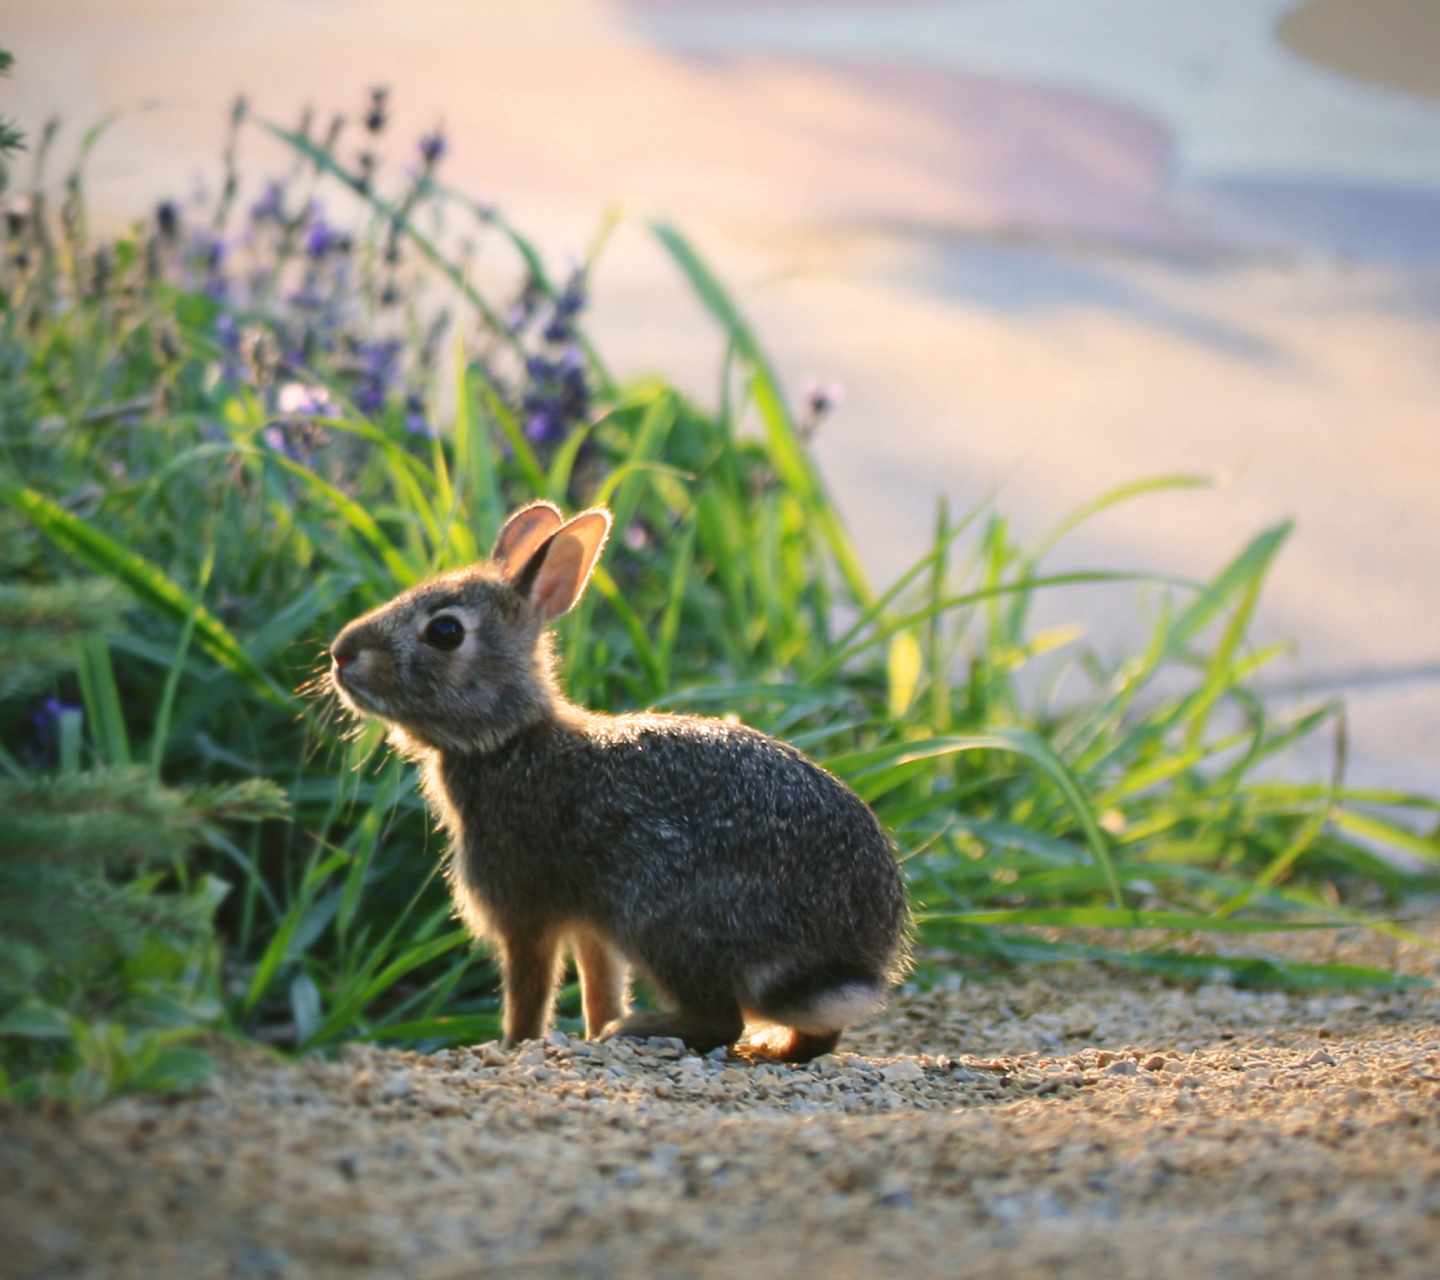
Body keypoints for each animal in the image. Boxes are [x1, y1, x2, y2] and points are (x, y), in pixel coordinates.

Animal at [331, 498, 904, 1059]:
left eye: (445, 632)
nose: (341, 653)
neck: (508, 739)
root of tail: (846, 957)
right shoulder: (592, 926)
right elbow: (599, 983)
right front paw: (591, 1028)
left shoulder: (524, 910)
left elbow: (529, 989)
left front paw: (515, 1044)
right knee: (816, 1036)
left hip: (665, 916)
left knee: (722, 1021)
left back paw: (645, 1030)